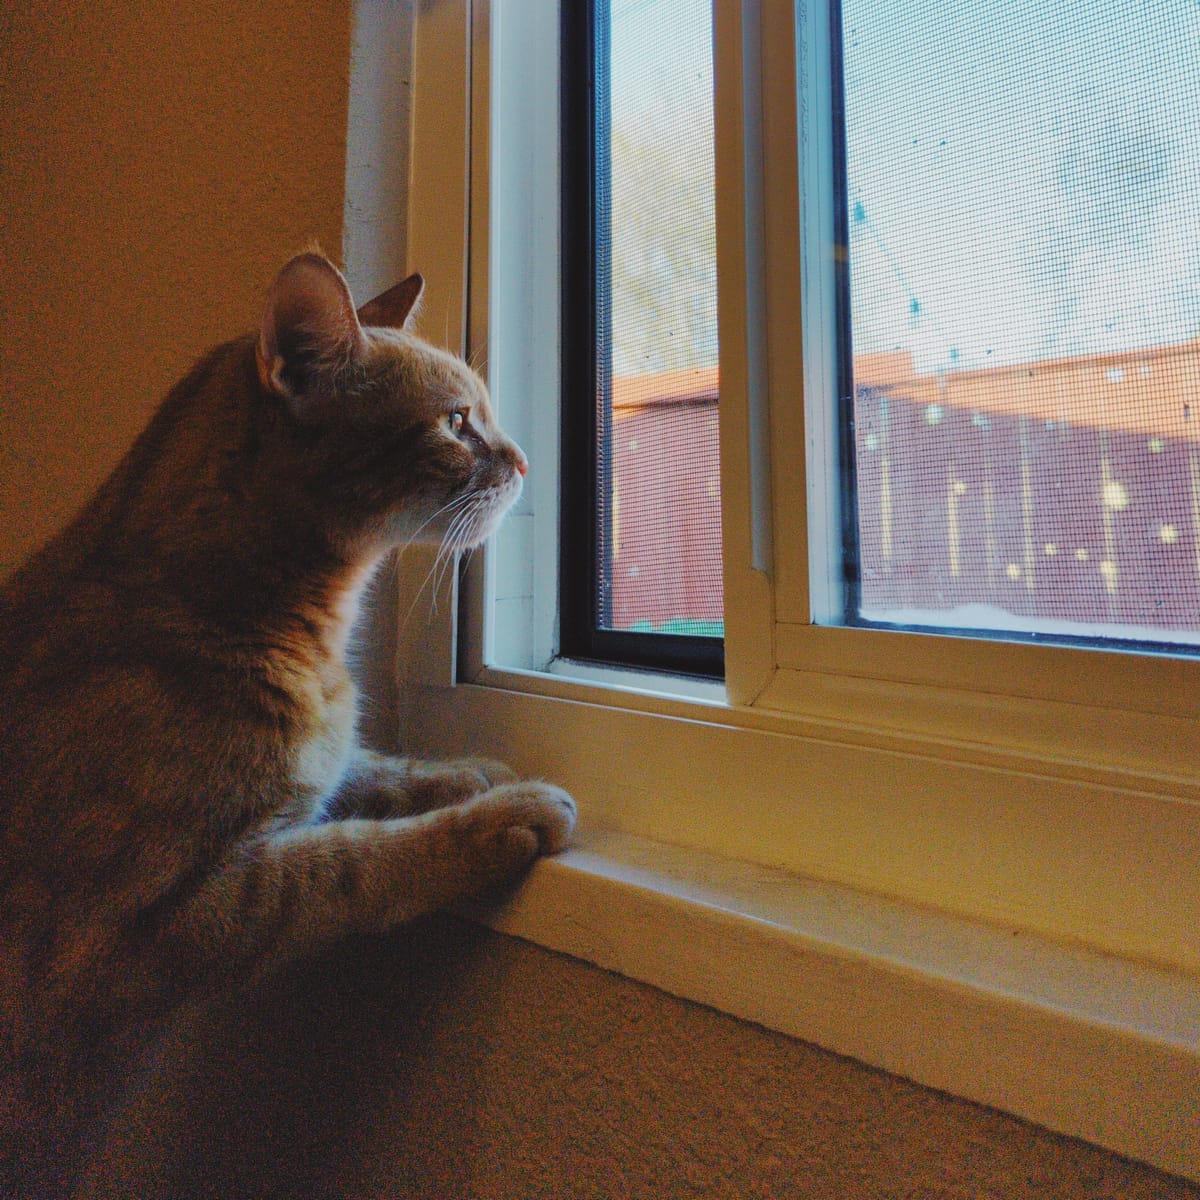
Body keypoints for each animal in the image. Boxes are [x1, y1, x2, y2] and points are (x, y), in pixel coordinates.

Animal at [0, 250, 576, 1190]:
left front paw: (471, 773)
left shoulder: (327, 766)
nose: (527, 462)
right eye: (458, 422)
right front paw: (500, 814)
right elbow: (348, 863)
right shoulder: (135, 934)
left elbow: (371, 770)